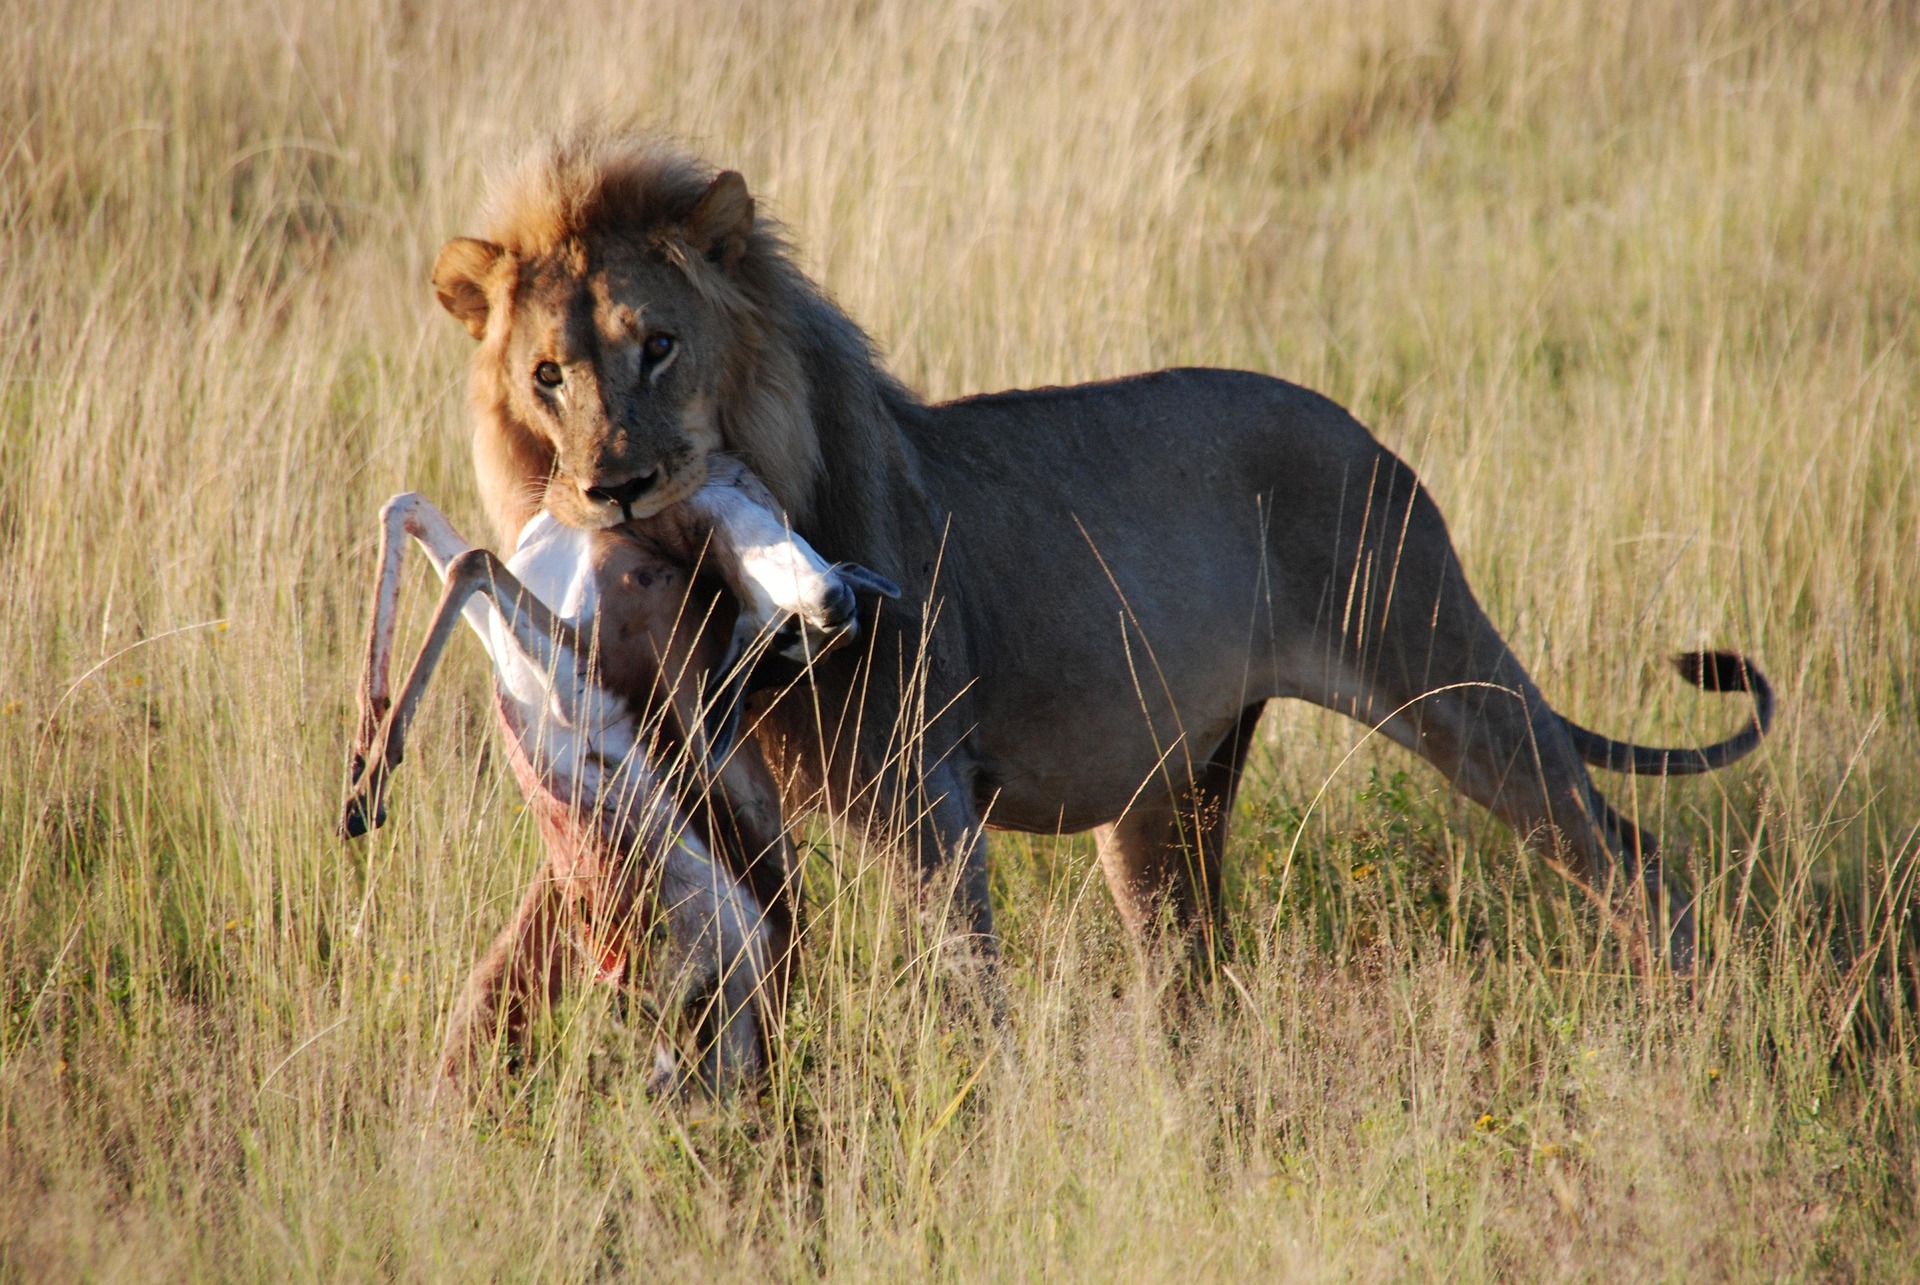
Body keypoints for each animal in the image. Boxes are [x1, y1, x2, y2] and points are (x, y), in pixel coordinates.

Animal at [429, 132, 1772, 969]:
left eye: (657, 345)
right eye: (548, 375)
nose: (611, 488)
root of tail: (1370, 436)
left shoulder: (926, 802)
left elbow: (960, 994)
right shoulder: (723, 798)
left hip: (1442, 668)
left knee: (1627, 853)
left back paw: (1680, 1021)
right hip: (1171, 795)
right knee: (1196, 970)